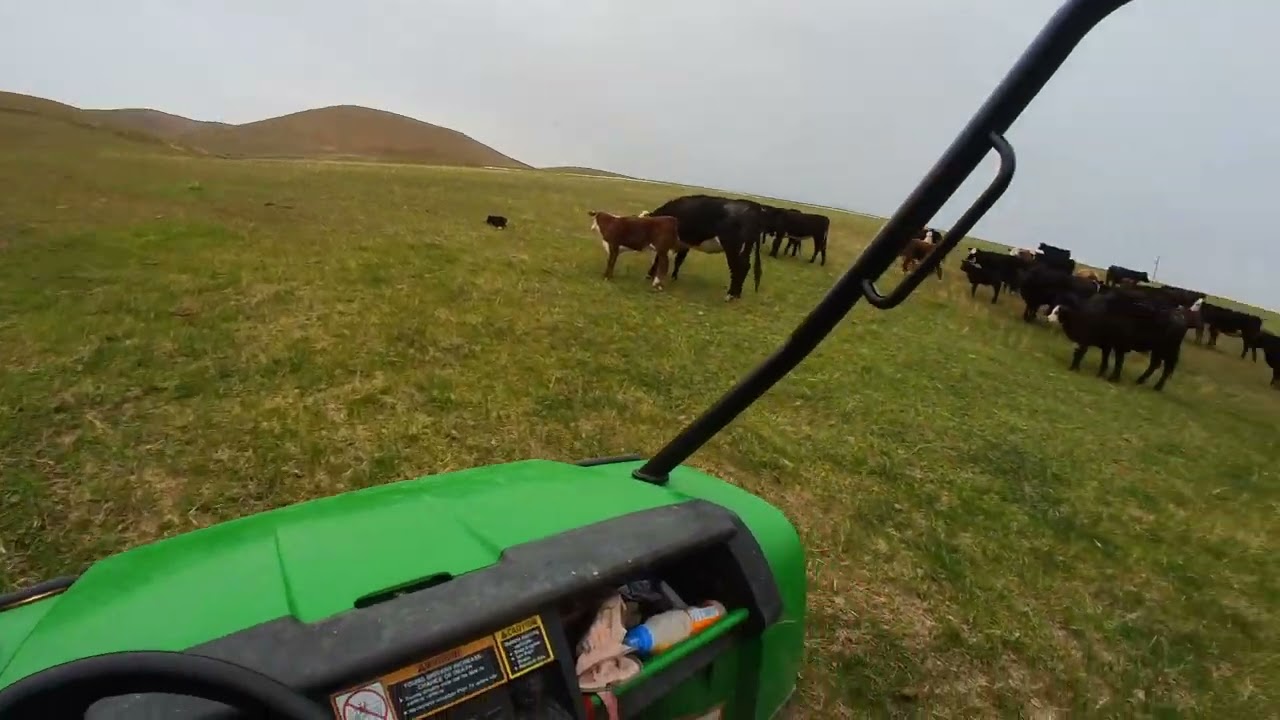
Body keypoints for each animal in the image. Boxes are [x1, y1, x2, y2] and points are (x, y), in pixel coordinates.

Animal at [1047, 287, 1189, 391]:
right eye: (1054, 308)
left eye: (1058, 312)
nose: (1048, 318)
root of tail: (1180, 317)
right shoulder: (1106, 344)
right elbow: (1104, 359)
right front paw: (1101, 373)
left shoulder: (1117, 345)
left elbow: (1117, 361)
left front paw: (1113, 378)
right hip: (1157, 350)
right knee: (1155, 365)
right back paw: (1140, 380)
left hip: (1168, 351)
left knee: (1166, 369)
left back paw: (1157, 387)